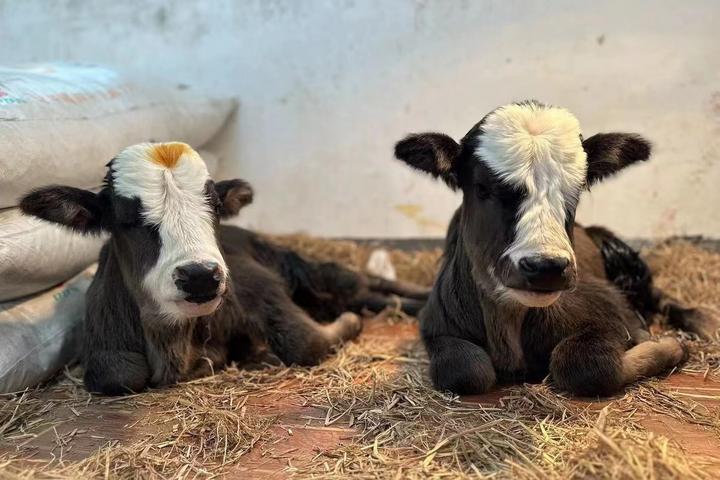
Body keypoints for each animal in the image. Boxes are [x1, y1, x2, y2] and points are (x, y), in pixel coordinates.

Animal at [20, 142, 428, 395]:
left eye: (214, 206)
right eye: (126, 218)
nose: (200, 275)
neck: (171, 342)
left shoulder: (258, 285)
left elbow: (304, 342)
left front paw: (348, 325)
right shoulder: (107, 353)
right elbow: (120, 375)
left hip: (307, 269)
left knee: (364, 282)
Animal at [394, 100, 717, 397]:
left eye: (576, 191)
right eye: (482, 188)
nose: (546, 267)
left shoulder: (611, 310)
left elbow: (582, 364)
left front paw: (668, 343)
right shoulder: (435, 325)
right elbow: (466, 369)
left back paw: (705, 322)